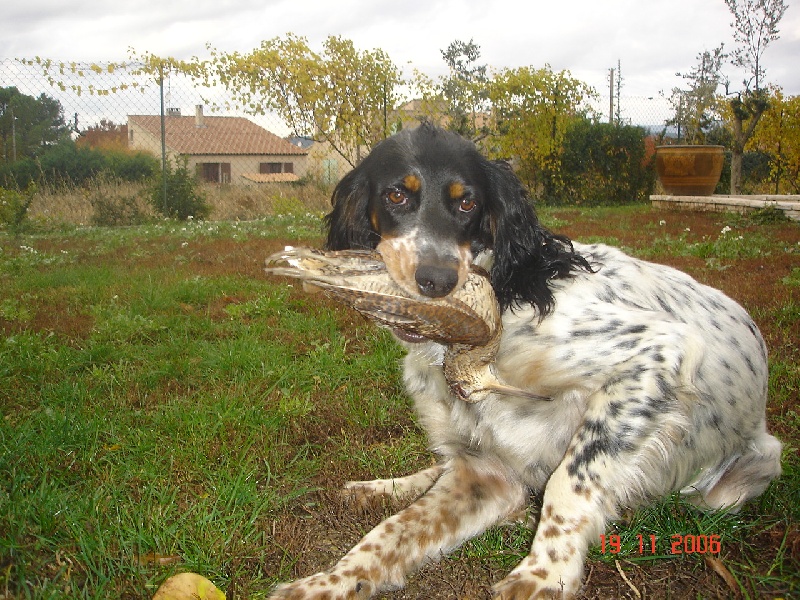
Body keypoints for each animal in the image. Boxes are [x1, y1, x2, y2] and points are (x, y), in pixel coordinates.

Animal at [272, 124, 784, 596]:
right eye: (397, 194)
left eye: (467, 203)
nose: (436, 280)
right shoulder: (483, 473)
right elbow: (392, 531)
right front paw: (326, 582)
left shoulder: (653, 354)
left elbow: (570, 480)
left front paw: (544, 574)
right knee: (438, 468)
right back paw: (382, 487)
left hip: (743, 476)